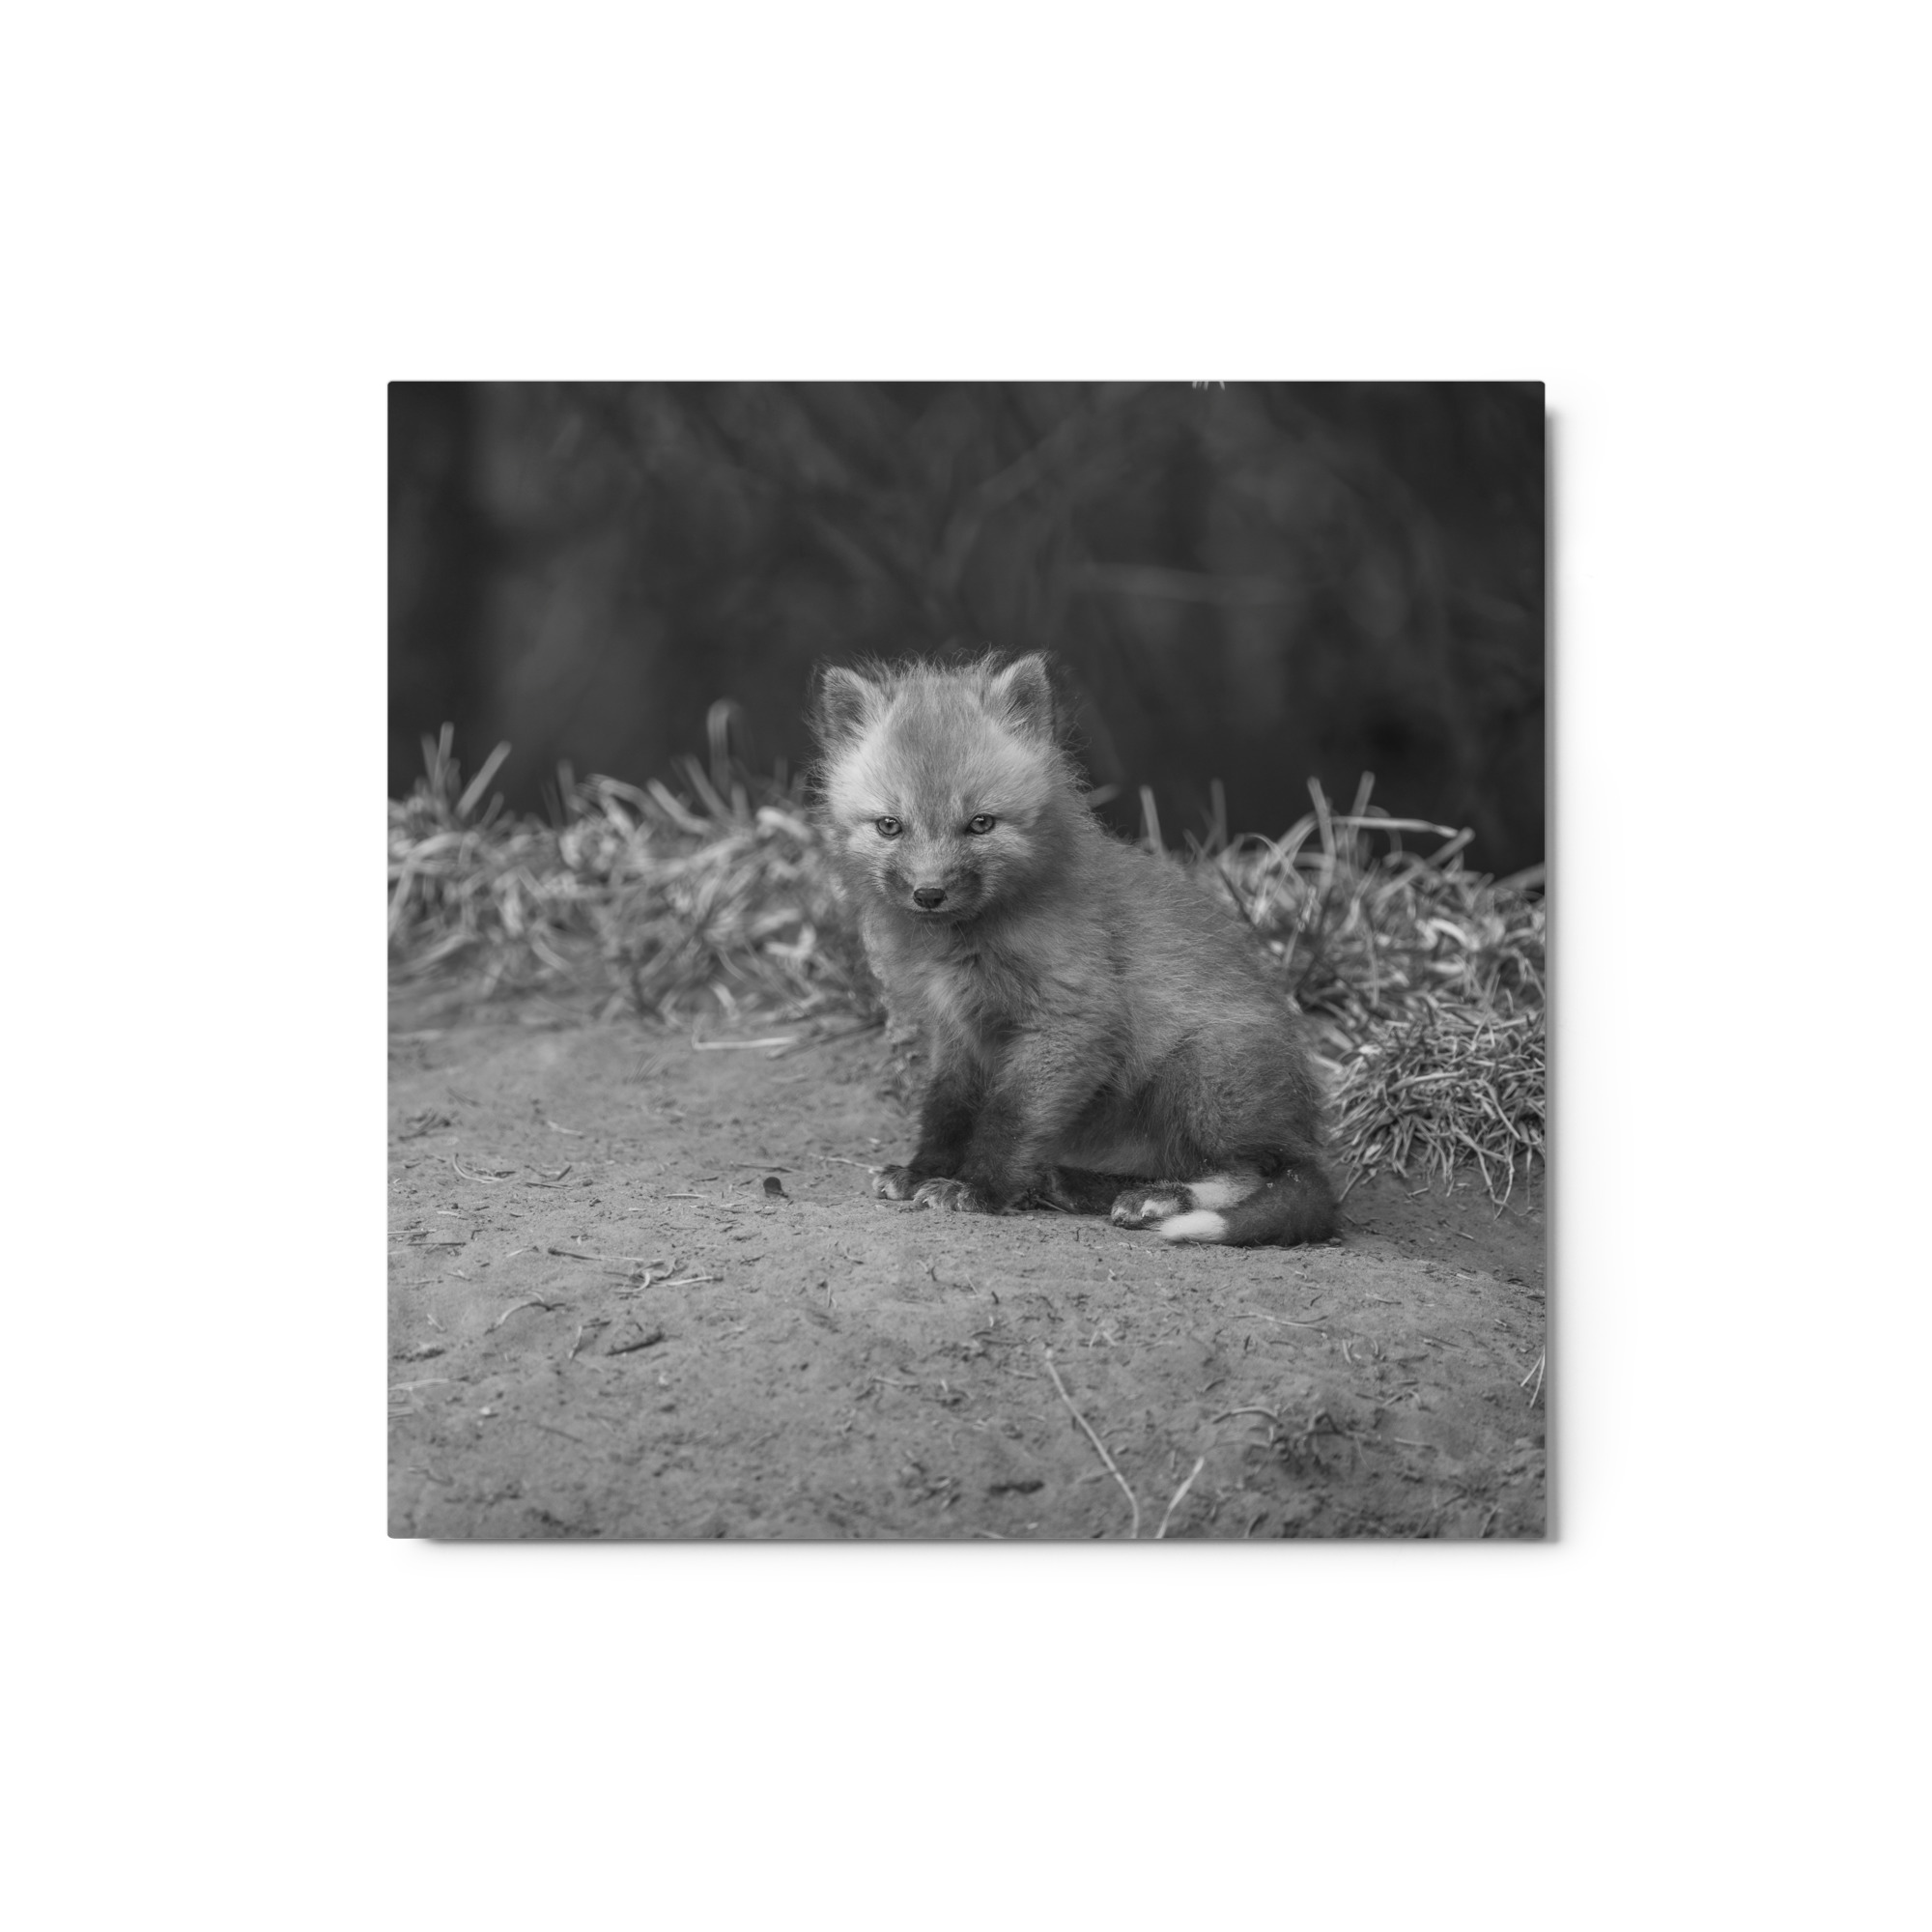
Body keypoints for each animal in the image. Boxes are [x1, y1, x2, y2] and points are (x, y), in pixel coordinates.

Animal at [810, 651, 1338, 1247]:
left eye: (980, 824)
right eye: (890, 826)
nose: (929, 893)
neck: (966, 945)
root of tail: (1303, 1129)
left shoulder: (1070, 1022)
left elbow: (1009, 1117)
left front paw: (978, 1189)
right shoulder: (958, 1031)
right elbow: (947, 1110)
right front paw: (924, 1171)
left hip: (1200, 1074)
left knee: (1257, 1173)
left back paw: (1158, 1200)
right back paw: (1074, 1184)